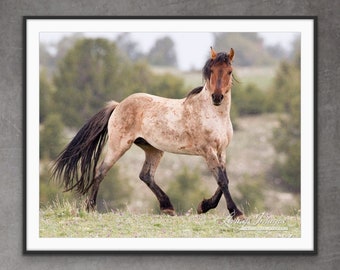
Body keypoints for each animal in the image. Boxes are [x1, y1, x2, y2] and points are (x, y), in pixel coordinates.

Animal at [52, 46, 244, 219]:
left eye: (229, 71)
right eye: (211, 71)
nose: (217, 97)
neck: (213, 114)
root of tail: (118, 105)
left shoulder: (221, 151)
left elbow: (224, 180)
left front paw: (204, 206)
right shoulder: (208, 151)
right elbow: (222, 180)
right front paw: (236, 213)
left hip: (153, 149)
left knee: (146, 175)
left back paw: (168, 207)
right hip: (119, 145)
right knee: (101, 171)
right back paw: (90, 208)